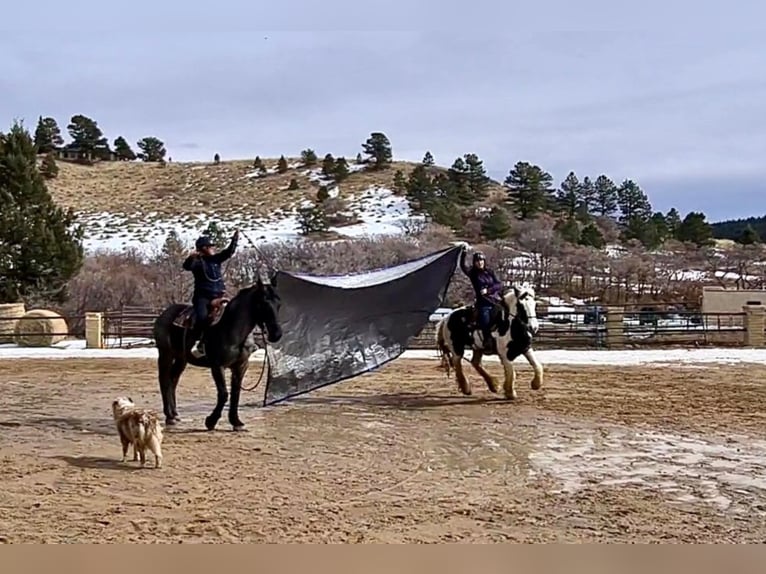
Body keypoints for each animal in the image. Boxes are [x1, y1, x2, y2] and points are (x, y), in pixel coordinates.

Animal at [152, 276, 284, 434]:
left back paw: (175, 414)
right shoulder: (217, 366)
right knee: (164, 380)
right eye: (264, 302)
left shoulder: (241, 366)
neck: (231, 328)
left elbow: (235, 394)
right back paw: (169, 416)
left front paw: (236, 422)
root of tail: (164, 314)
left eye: (278, 303)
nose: (276, 334)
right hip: (165, 354)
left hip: (181, 358)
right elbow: (224, 394)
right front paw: (211, 421)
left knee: (173, 379)